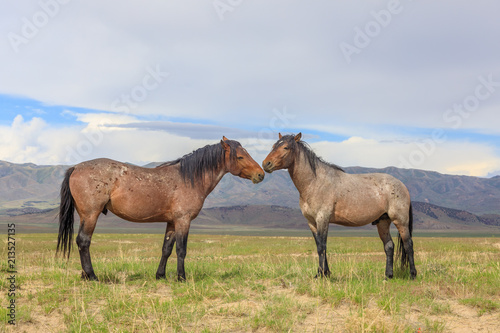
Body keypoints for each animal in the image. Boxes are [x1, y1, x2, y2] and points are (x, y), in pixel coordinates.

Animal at [57, 137, 266, 280]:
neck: (189, 178)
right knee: (83, 241)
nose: (261, 174)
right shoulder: (183, 220)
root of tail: (76, 167)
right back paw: (92, 276)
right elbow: (181, 250)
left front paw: (161, 275)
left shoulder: (172, 222)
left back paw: (85, 275)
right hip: (91, 214)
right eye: (240, 156)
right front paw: (182, 277)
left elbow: (166, 249)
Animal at [264, 132, 416, 278]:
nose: (266, 164)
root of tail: (402, 185)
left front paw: (322, 274)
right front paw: (323, 273)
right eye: (273, 146)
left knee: (408, 245)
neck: (315, 182)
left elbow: (322, 247)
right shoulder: (312, 222)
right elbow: (319, 246)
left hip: (400, 221)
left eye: (285, 147)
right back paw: (388, 275)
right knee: (389, 246)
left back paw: (412, 274)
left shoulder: (322, 219)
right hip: (383, 222)